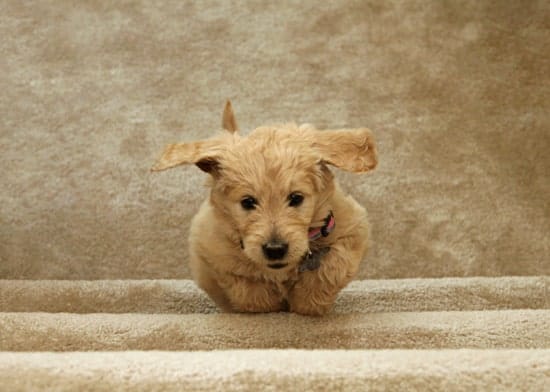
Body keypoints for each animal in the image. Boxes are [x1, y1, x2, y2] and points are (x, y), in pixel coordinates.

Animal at [155, 102, 380, 316]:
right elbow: (248, 287)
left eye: (296, 198)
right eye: (247, 202)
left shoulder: (351, 229)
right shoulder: (213, 251)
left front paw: (307, 303)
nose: (275, 249)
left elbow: (331, 267)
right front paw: (267, 305)